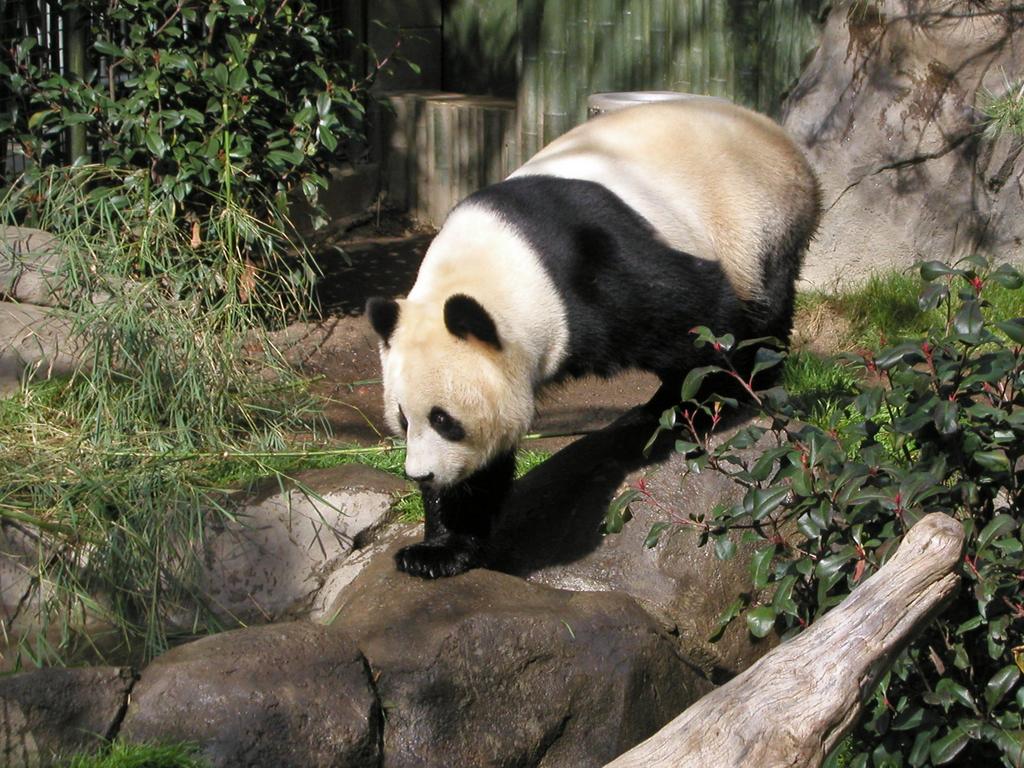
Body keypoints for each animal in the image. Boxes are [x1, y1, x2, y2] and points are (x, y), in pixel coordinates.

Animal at [364, 94, 819, 577]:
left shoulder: (597, 266)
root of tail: (781, 136)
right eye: (403, 419)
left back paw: (743, 384)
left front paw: (716, 396)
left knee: (764, 299)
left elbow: (703, 315)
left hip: (756, 218)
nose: (420, 475)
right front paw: (436, 550)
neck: (499, 263)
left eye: (444, 420)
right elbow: (479, 467)